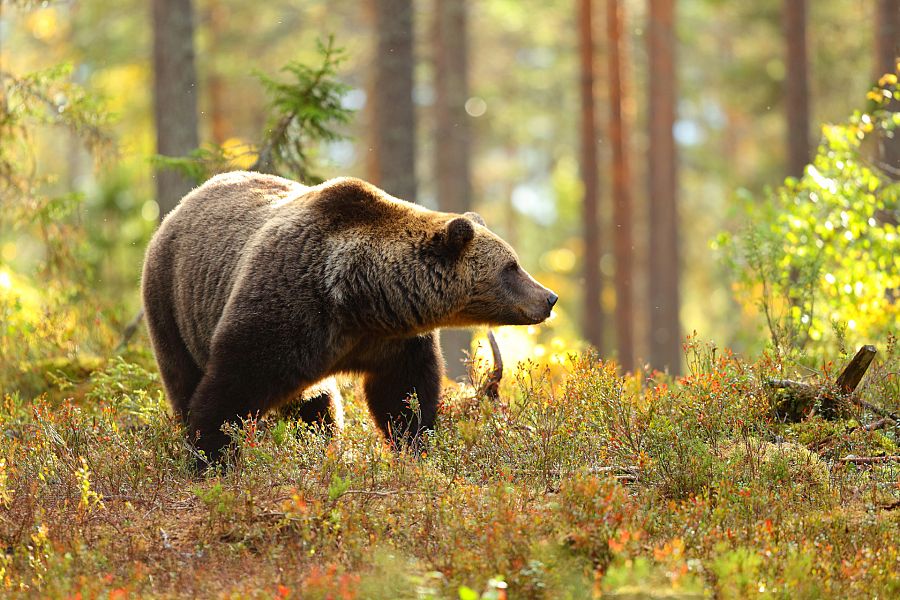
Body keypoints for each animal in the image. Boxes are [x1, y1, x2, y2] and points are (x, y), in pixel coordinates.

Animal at [141, 171, 557, 463]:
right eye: (511, 267)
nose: (549, 298)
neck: (358, 298)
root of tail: (180, 205)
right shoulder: (285, 308)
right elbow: (231, 385)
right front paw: (211, 456)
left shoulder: (392, 341)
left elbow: (403, 396)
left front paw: (415, 446)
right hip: (172, 303)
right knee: (182, 375)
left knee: (316, 406)